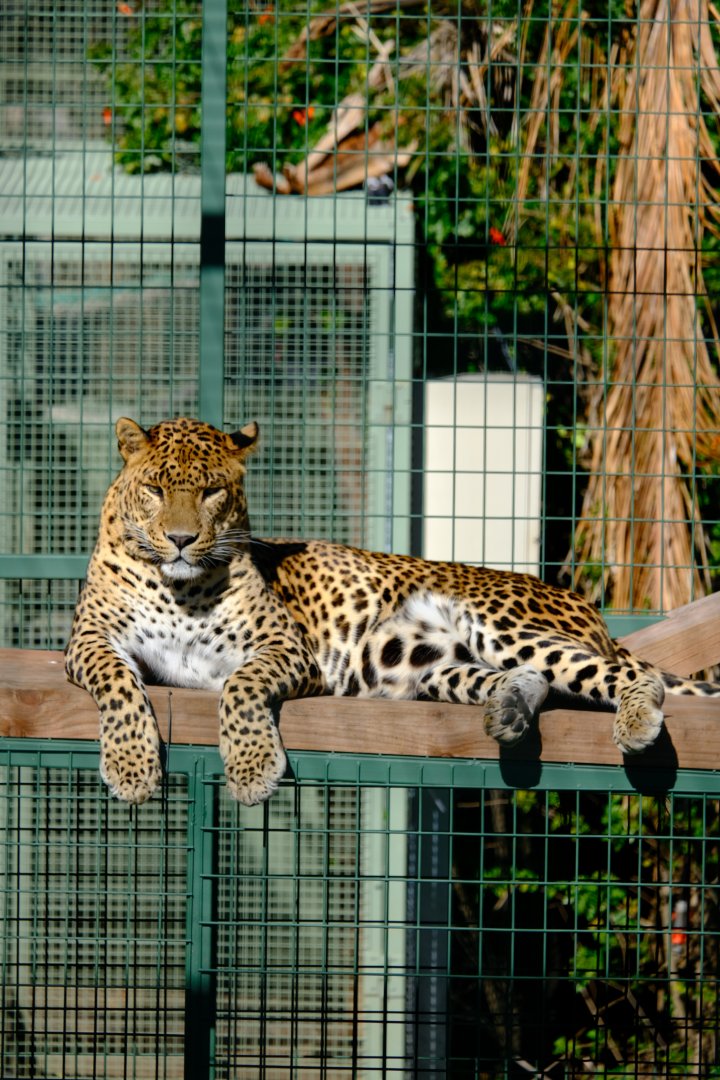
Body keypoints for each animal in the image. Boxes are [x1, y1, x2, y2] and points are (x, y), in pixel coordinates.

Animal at [65, 416, 720, 807]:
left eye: (211, 492)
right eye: (154, 489)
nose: (179, 540)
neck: (176, 585)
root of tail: (587, 607)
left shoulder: (283, 647)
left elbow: (241, 688)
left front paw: (251, 768)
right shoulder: (89, 642)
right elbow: (119, 686)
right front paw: (131, 765)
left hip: (496, 620)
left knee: (619, 672)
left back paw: (635, 720)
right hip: (428, 666)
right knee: (536, 677)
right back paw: (509, 709)